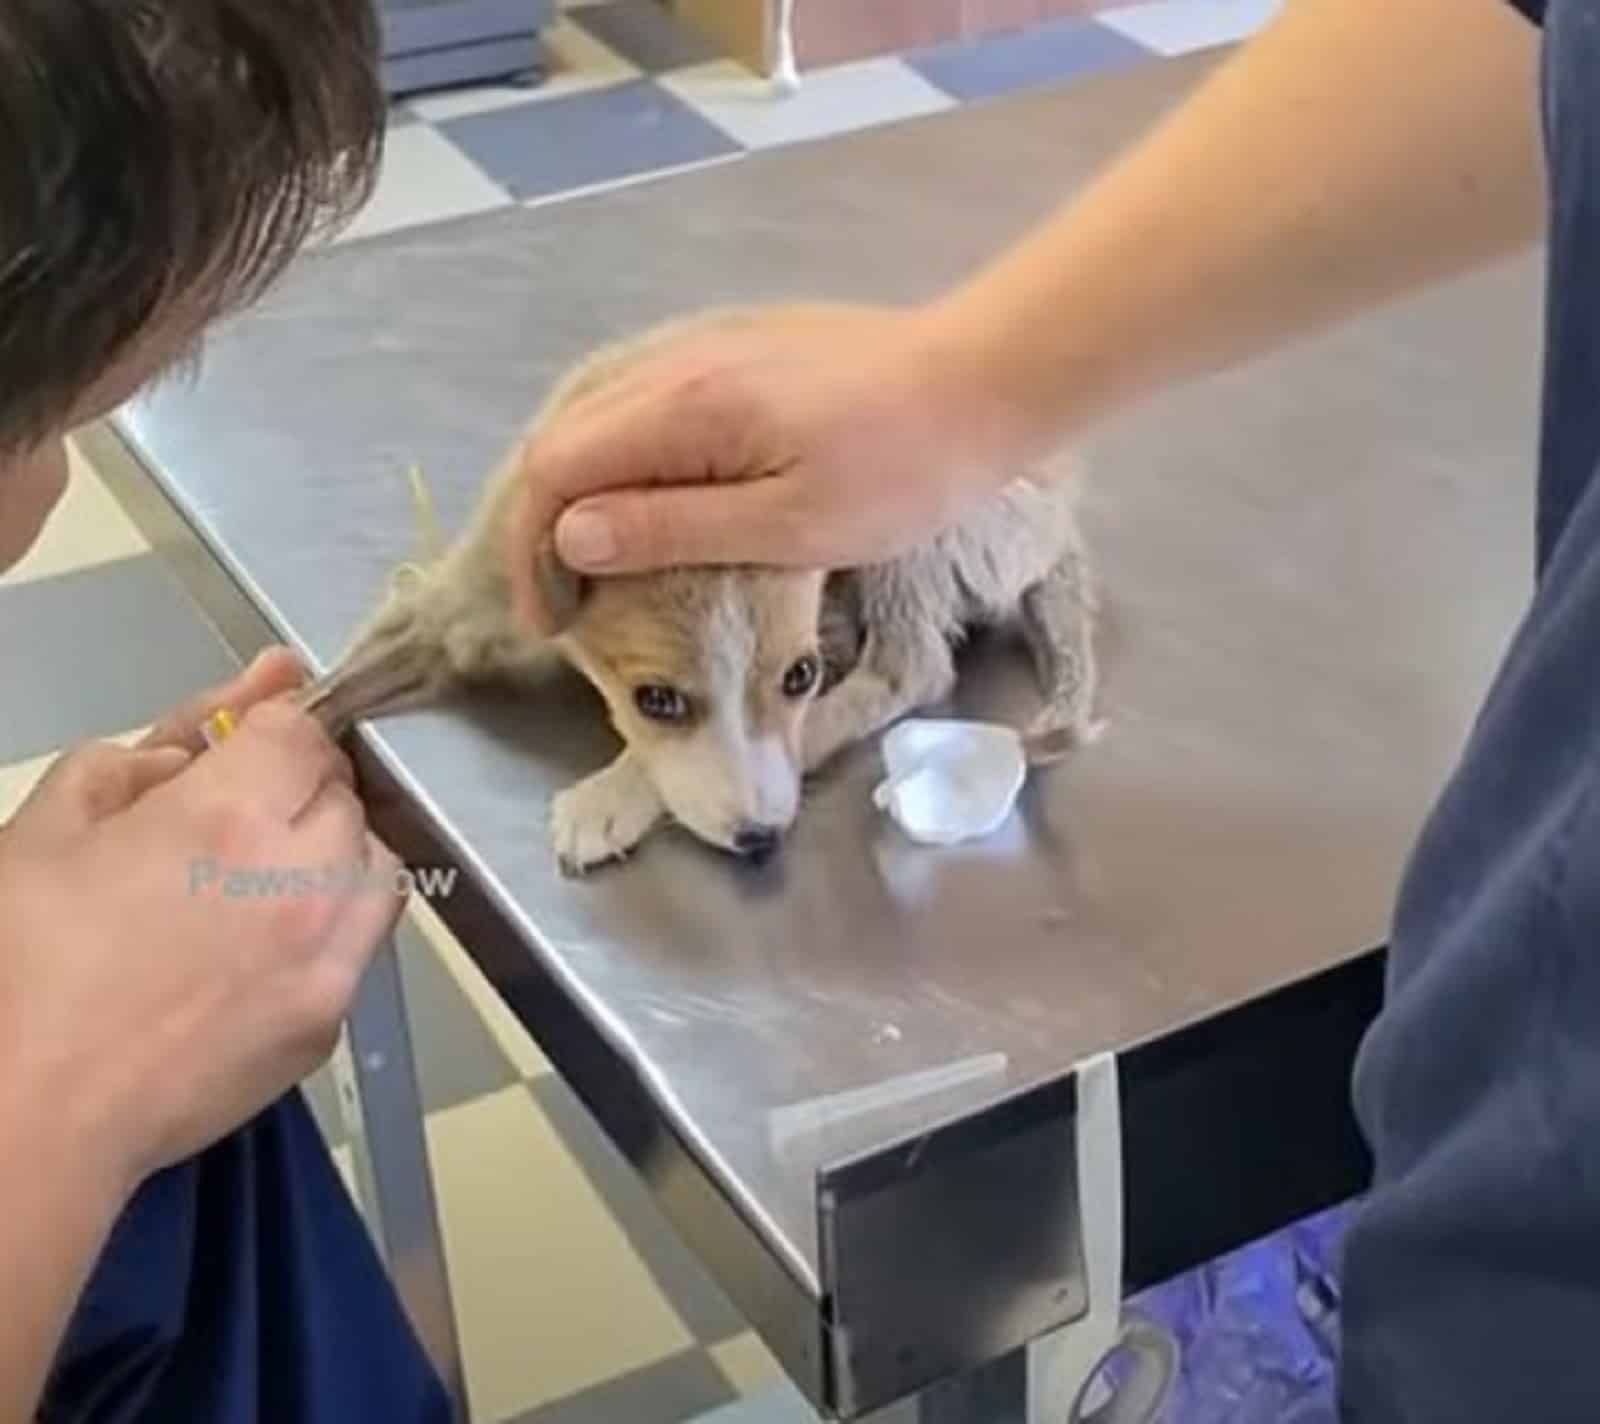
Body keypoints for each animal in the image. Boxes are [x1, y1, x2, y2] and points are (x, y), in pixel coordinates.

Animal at [297, 305, 1100, 870]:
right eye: (657, 699)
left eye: (801, 676)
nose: (760, 840)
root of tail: (1063, 508)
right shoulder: (453, 606)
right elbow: (322, 694)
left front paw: (613, 796)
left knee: (914, 666)